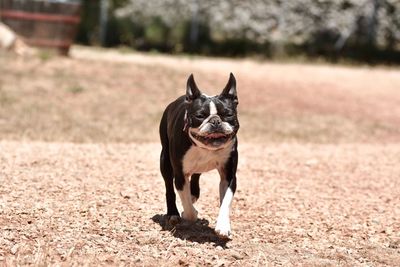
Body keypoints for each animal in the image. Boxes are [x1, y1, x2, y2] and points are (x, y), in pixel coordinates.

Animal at [159, 72, 241, 238]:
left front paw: (223, 225)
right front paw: (188, 213)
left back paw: (194, 193)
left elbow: (225, 201)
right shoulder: (180, 175)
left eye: (229, 114)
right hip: (165, 162)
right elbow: (189, 210)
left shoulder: (229, 176)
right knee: (169, 189)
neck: (206, 148)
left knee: (196, 174)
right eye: (200, 116)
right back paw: (173, 213)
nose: (215, 121)